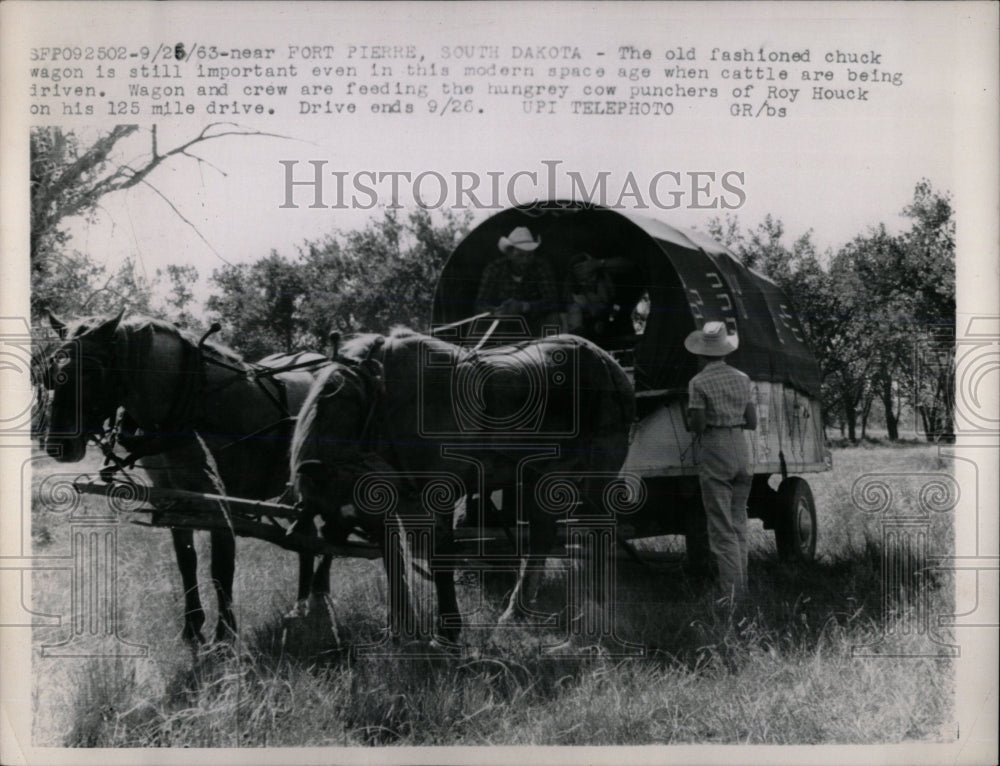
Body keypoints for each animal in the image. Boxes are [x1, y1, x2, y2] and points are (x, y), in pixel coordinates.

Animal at [42, 312, 328, 648]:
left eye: (91, 371)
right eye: (51, 371)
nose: (57, 446)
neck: (191, 402)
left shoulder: (221, 502)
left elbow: (221, 567)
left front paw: (225, 634)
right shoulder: (172, 498)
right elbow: (186, 561)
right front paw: (192, 628)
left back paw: (316, 597)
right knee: (309, 536)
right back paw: (304, 602)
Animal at [290, 330, 632, 648]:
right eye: (339, 518)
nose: (317, 595)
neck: (380, 400)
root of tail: (610, 363)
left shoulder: (436, 492)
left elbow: (438, 556)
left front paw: (446, 634)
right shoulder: (399, 499)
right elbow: (395, 559)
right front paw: (400, 631)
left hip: (598, 474)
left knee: (597, 533)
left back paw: (597, 610)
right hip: (544, 478)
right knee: (542, 536)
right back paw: (516, 613)